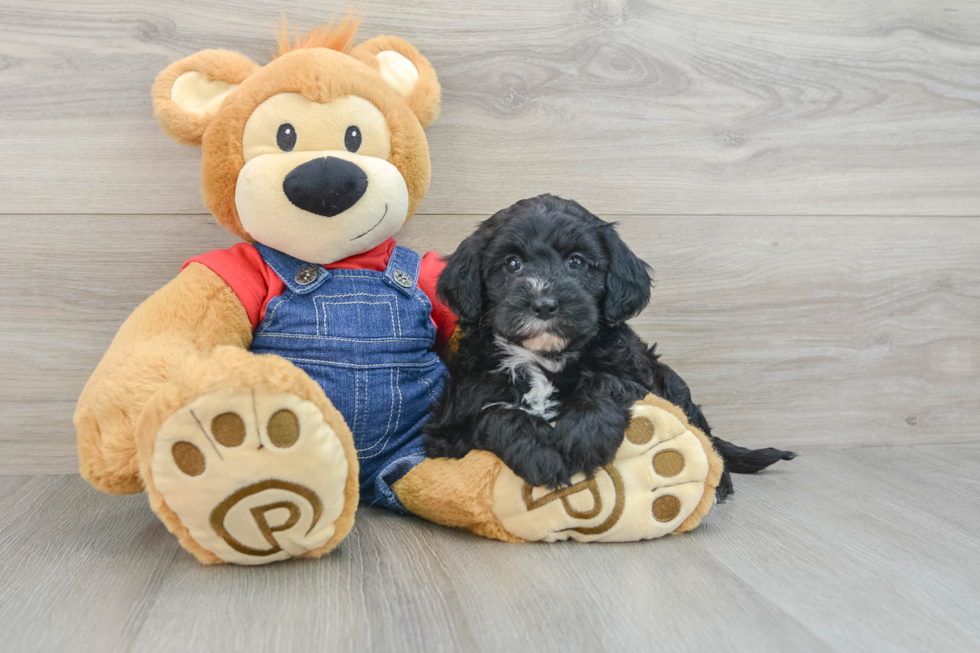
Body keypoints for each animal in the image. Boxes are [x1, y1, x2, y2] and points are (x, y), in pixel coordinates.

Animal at [424, 196, 792, 496]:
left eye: (576, 262)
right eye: (512, 263)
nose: (543, 304)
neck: (545, 357)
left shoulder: (637, 378)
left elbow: (607, 381)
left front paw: (585, 434)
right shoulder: (447, 429)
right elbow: (495, 414)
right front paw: (540, 453)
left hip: (670, 383)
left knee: (705, 438)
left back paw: (720, 483)